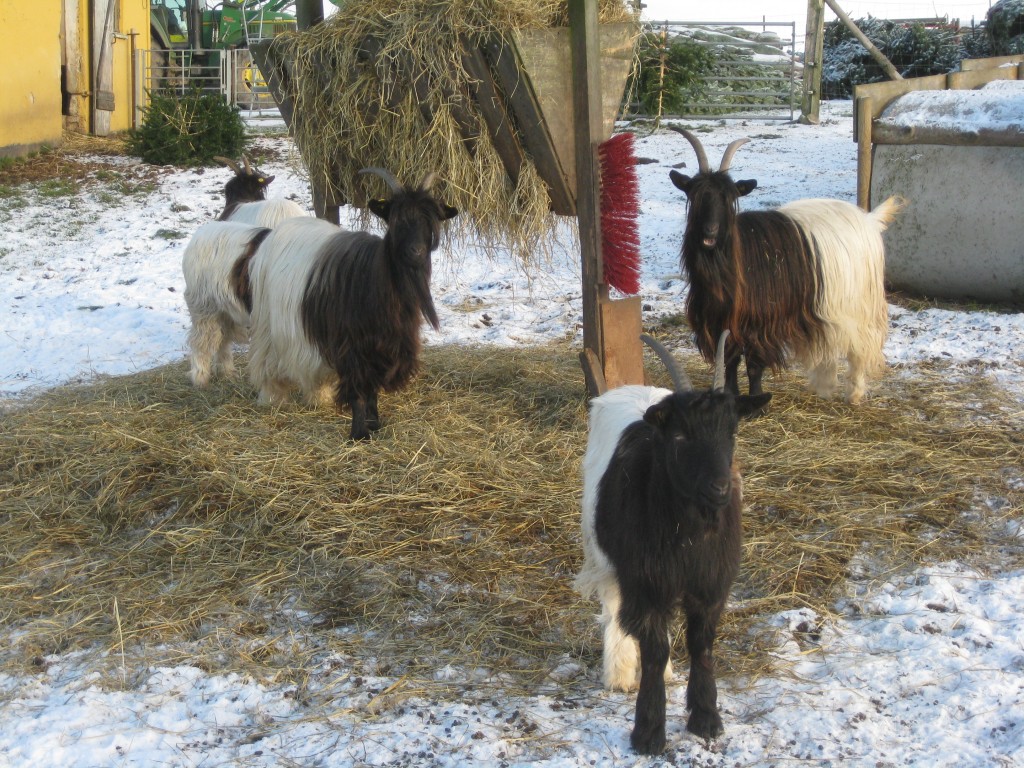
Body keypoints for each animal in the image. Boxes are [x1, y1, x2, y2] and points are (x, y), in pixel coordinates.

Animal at [182, 219, 272, 387]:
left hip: (225, 310)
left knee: (222, 339)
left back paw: (226, 372)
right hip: (204, 307)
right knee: (201, 342)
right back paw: (200, 377)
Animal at [245, 171, 458, 442]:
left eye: (430, 219)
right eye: (396, 219)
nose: (416, 251)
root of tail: (273, 234)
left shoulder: (382, 348)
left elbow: (373, 389)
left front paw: (374, 423)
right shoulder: (351, 346)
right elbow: (358, 391)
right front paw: (359, 433)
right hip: (266, 320)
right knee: (264, 361)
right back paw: (271, 398)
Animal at [577, 333, 770, 753]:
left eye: (731, 432)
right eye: (681, 436)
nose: (720, 487)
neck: (690, 536)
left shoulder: (710, 583)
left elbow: (700, 644)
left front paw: (707, 718)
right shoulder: (645, 579)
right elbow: (652, 646)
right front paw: (648, 732)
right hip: (604, 553)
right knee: (615, 608)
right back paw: (619, 671)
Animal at [671, 128, 905, 403]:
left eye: (728, 198)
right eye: (694, 195)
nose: (710, 230)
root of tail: (869, 219)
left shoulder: (760, 323)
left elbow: (754, 365)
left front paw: (757, 400)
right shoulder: (721, 321)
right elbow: (729, 361)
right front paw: (731, 395)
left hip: (857, 304)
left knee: (858, 346)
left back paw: (854, 394)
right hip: (826, 303)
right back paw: (825, 387)